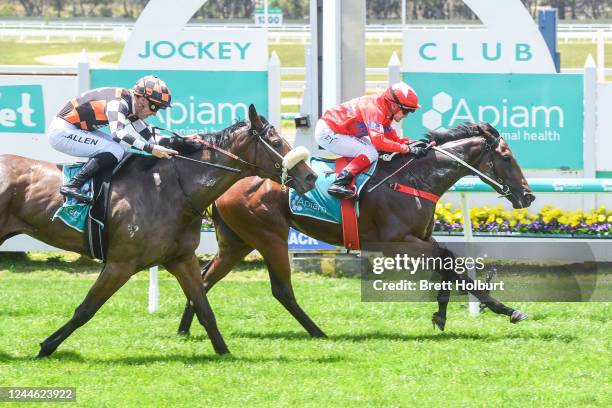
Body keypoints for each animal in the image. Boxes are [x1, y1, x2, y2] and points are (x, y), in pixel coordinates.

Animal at [0, 104, 316, 356]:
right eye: (275, 140)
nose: (311, 177)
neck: (169, 190)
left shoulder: (181, 258)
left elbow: (204, 308)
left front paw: (224, 353)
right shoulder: (120, 263)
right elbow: (86, 309)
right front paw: (47, 346)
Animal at [177, 122, 536, 338]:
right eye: (506, 156)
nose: (528, 195)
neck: (414, 178)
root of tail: (230, 183)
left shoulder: (421, 238)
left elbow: (448, 264)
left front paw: (442, 314)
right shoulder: (397, 242)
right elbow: (449, 260)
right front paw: (505, 309)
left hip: (236, 242)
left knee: (204, 280)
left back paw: (184, 330)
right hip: (269, 236)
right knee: (280, 290)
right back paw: (317, 332)